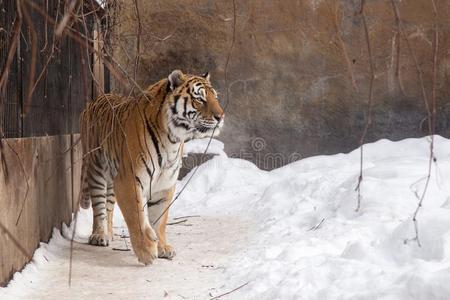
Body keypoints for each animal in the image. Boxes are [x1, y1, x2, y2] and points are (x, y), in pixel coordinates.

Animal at [80, 69, 225, 264]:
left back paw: (109, 233)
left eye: (215, 97)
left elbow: (160, 219)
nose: (221, 116)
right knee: (99, 206)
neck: (172, 138)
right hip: (96, 168)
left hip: (112, 174)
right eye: (200, 99)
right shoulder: (129, 180)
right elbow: (136, 215)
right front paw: (146, 251)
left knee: (109, 204)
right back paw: (99, 235)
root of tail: (95, 100)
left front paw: (163, 247)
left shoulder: (165, 185)